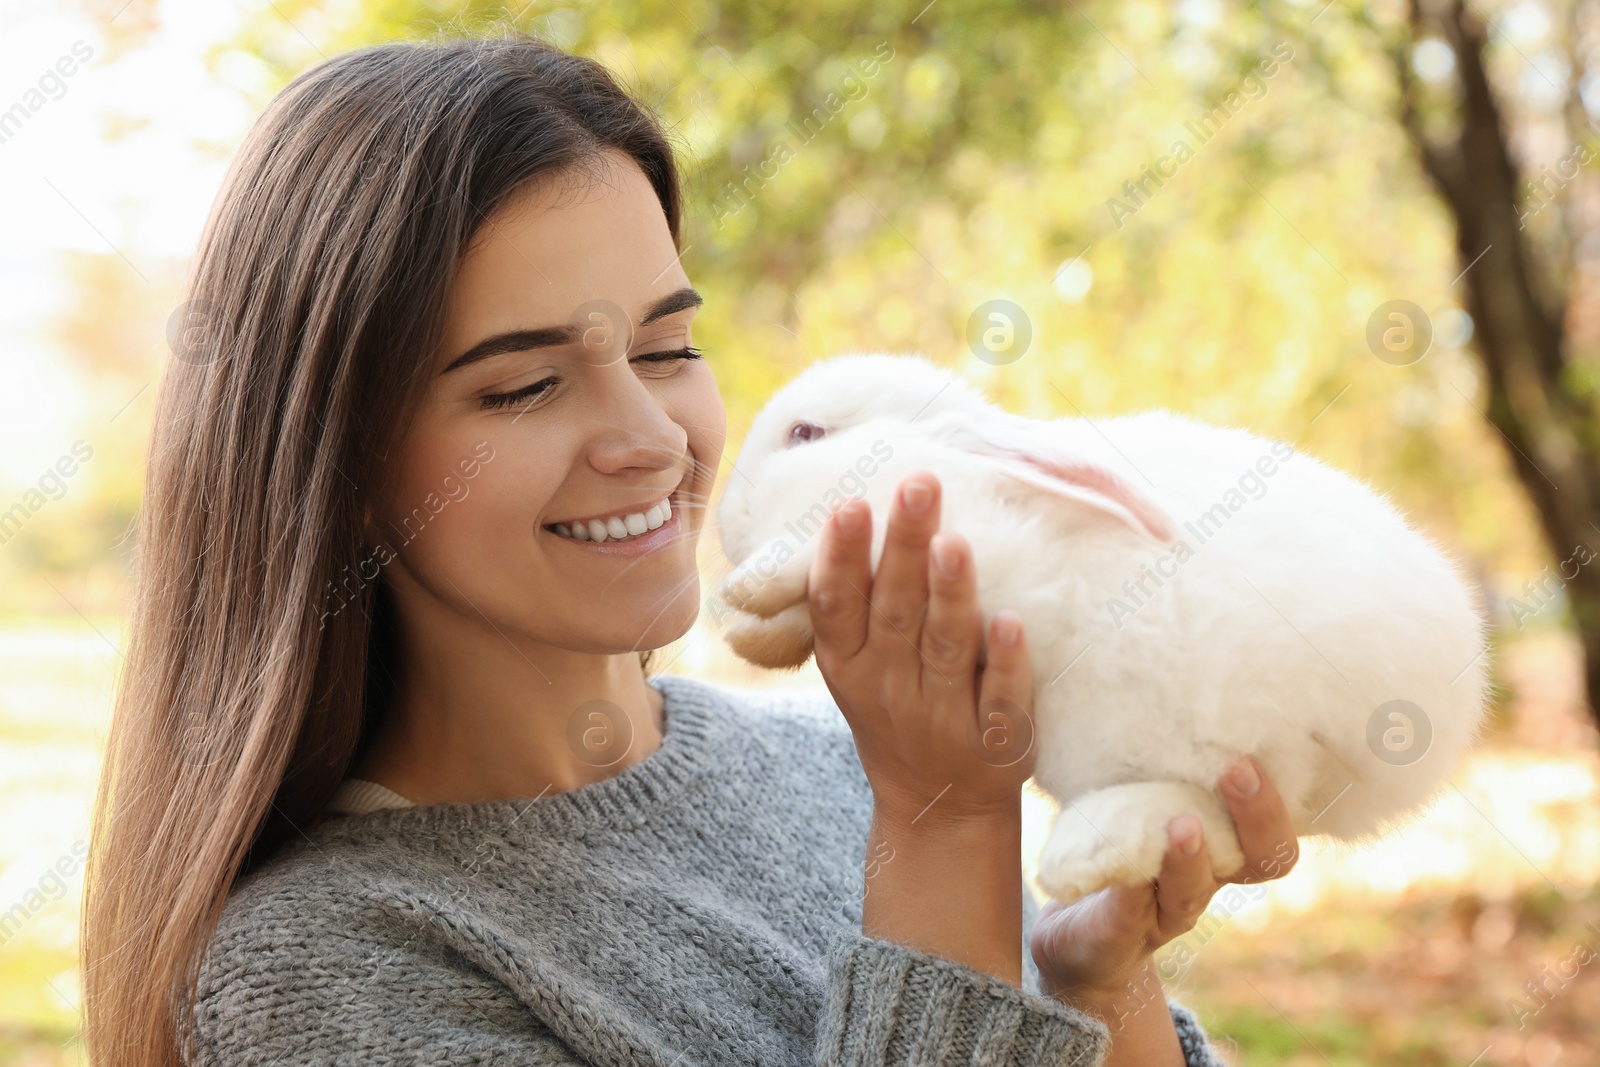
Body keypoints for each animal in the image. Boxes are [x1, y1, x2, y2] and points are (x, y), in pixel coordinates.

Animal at [707, 355, 1491, 908]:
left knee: (1226, 818)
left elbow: (820, 554)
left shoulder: (968, 548)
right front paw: (752, 635)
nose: (723, 516)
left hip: (1207, 721)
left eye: (806, 433)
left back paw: (1082, 853)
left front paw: (744, 588)